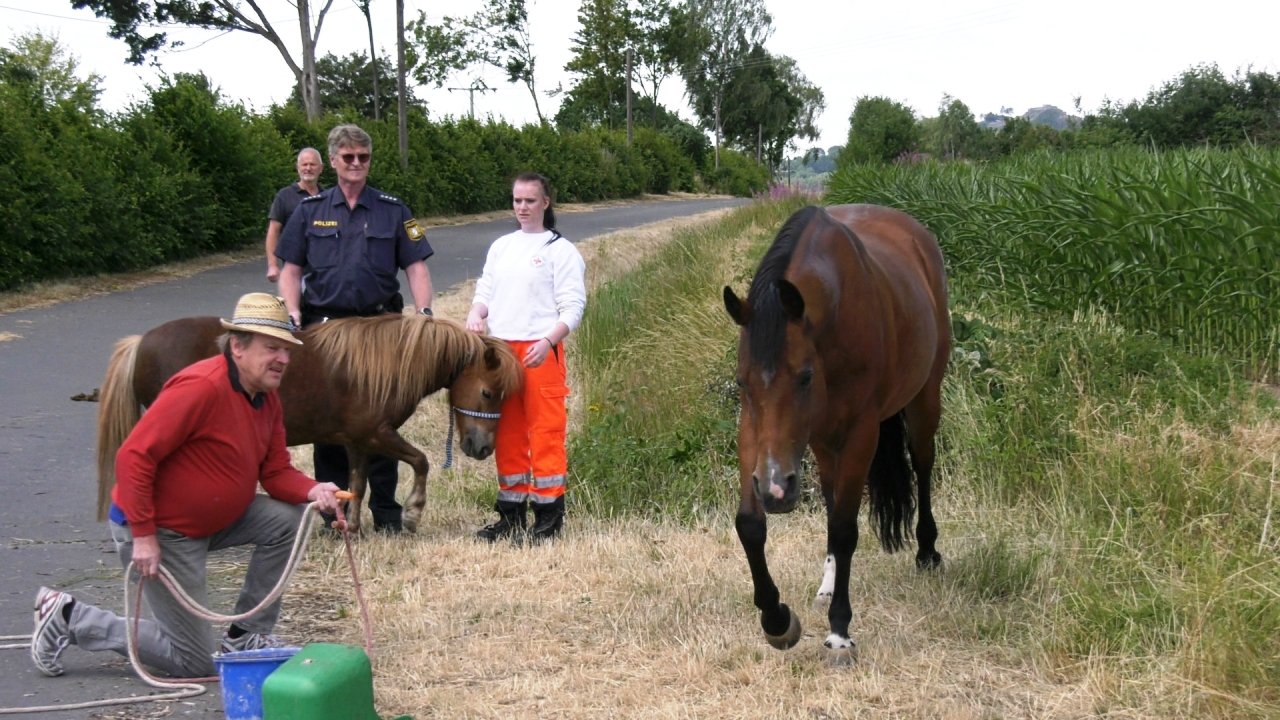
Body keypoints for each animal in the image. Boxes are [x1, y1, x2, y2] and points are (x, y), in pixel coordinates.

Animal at [94, 314, 522, 534]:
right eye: (488, 393)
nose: (483, 448)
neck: (384, 364)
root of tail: (140, 342)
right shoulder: (377, 434)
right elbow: (420, 461)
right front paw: (414, 513)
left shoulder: (357, 441)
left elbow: (357, 485)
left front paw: (351, 528)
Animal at [722, 204, 950, 662]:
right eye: (742, 382)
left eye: (805, 376)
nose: (775, 489)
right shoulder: (755, 430)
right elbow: (751, 525)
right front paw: (777, 620)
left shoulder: (861, 433)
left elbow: (845, 529)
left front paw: (840, 632)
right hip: (820, 441)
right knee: (829, 498)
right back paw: (826, 585)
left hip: (924, 398)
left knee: (923, 465)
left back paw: (927, 551)